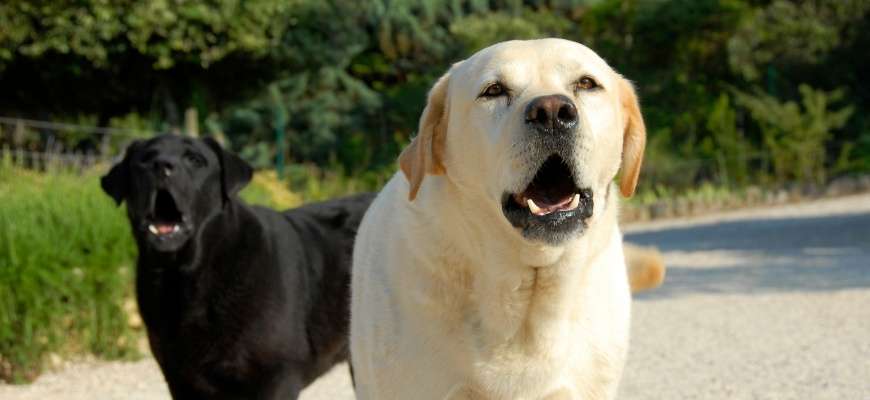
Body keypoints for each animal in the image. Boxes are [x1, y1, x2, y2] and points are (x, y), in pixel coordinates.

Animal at [102, 136, 374, 398]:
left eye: (195, 160)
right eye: (145, 160)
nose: (161, 166)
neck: (189, 276)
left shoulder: (277, 377)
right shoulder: (181, 380)